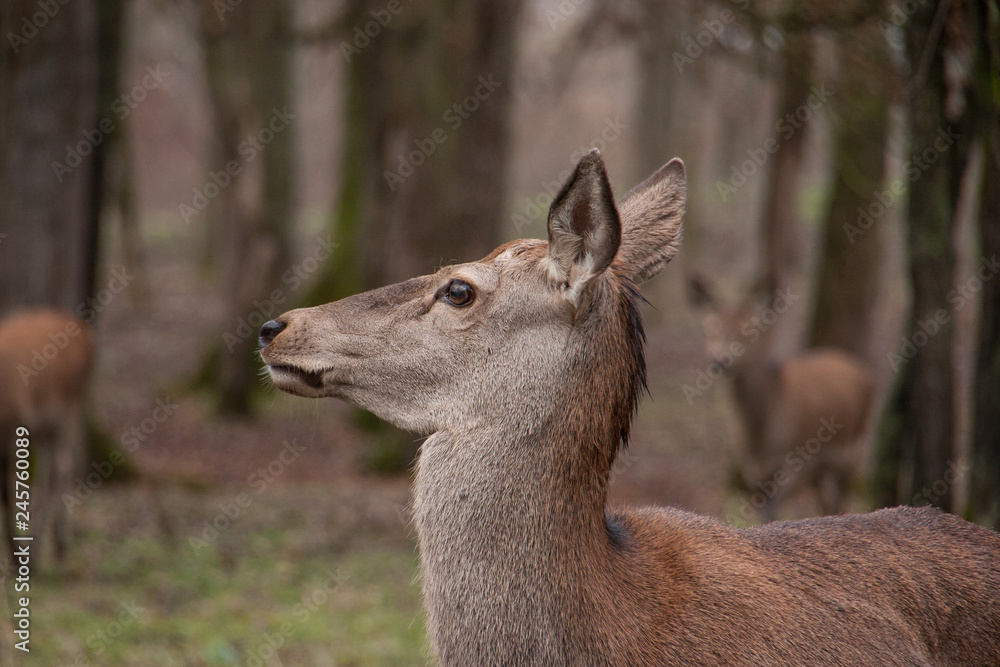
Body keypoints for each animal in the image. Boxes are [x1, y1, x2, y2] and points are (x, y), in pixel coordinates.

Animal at [0, 306, 94, 564]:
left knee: (63, 466)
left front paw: (14, 556)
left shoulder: (13, 424)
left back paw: (56, 546)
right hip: (46, 427)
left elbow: (7, 493)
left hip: (70, 406)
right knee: (49, 471)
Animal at [688, 276, 876, 520]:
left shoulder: (791, 464)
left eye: (748, 330)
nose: (720, 360)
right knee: (827, 503)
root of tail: (865, 373)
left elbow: (771, 514)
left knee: (843, 498)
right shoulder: (754, 472)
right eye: (708, 329)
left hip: (854, 447)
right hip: (821, 469)